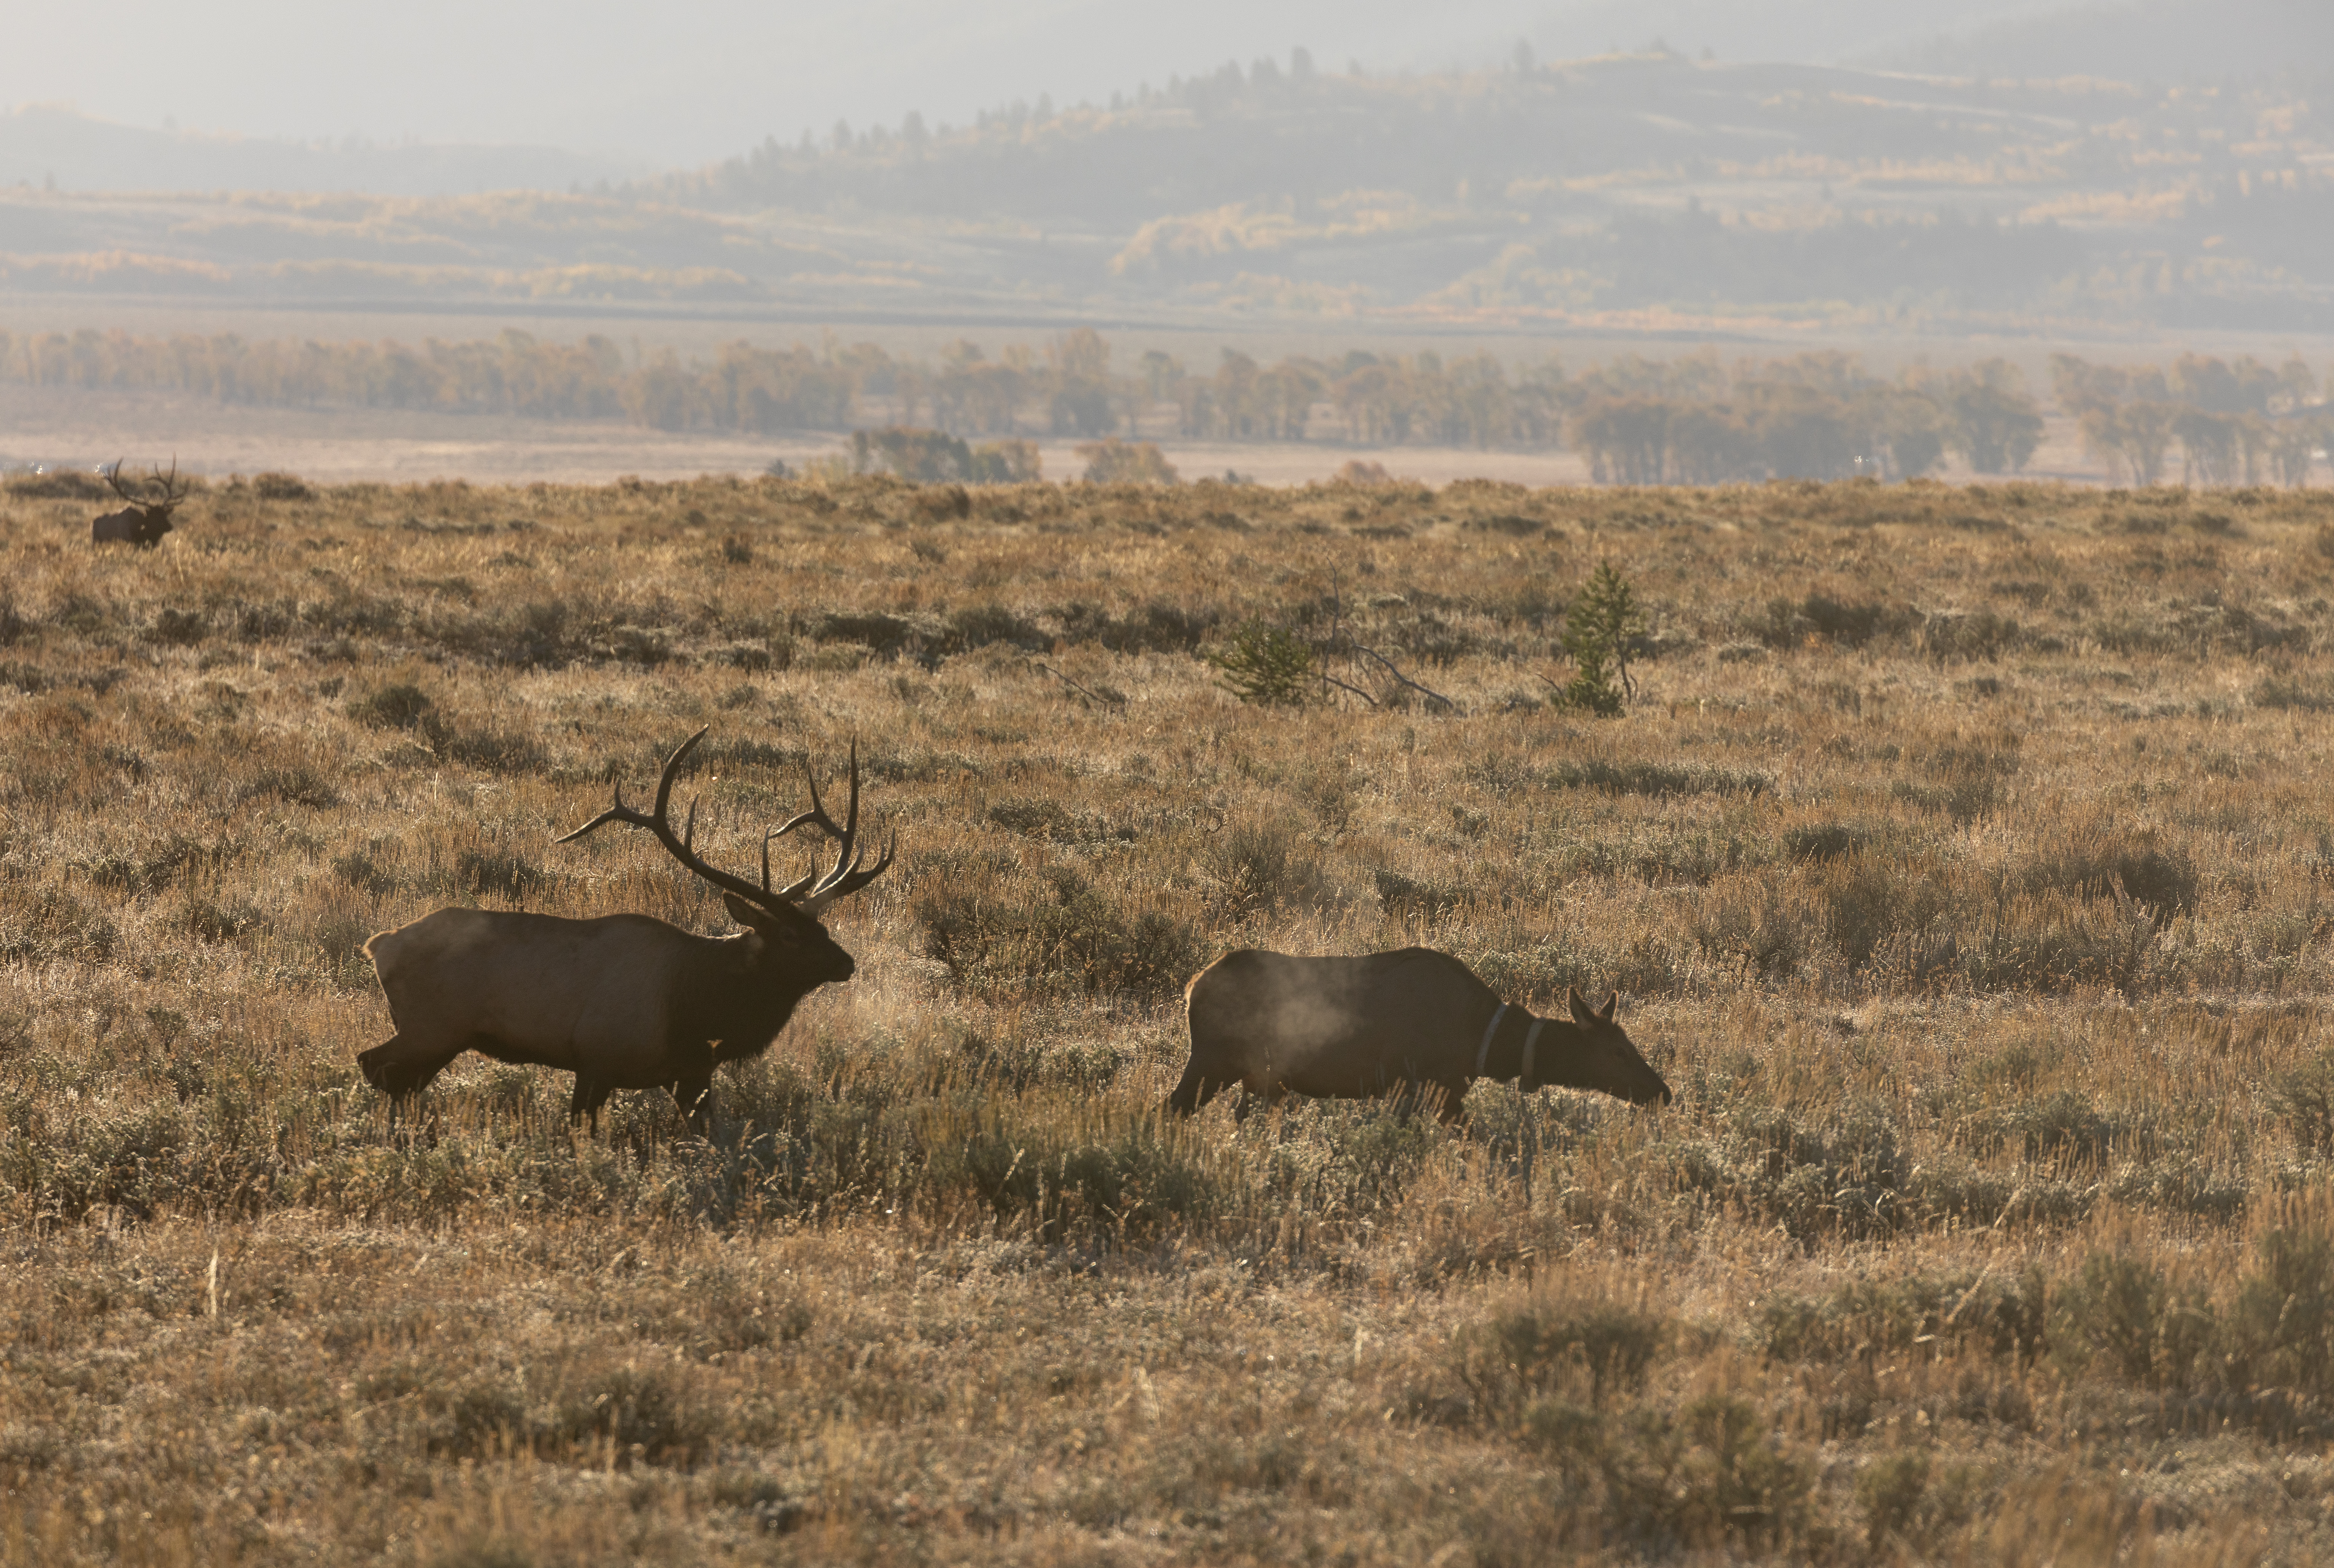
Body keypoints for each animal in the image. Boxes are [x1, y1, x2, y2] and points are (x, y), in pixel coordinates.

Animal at [359, 728, 896, 1134]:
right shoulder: (597, 1059)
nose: (846, 963)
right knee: (375, 1065)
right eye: (787, 935)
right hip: (432, 1027)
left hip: (436, 1035)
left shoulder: (692, 1074)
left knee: (390, 1076)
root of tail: (377, 945)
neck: (699, 1008)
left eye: (820, 926)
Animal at [1176, 947, 1671, 1120]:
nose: (1662, 1092)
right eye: (1618, 1051)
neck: (1487, 1045)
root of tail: (1192, 987)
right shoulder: (1432, 1089)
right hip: (1211, 1064)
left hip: (1254, 1079)